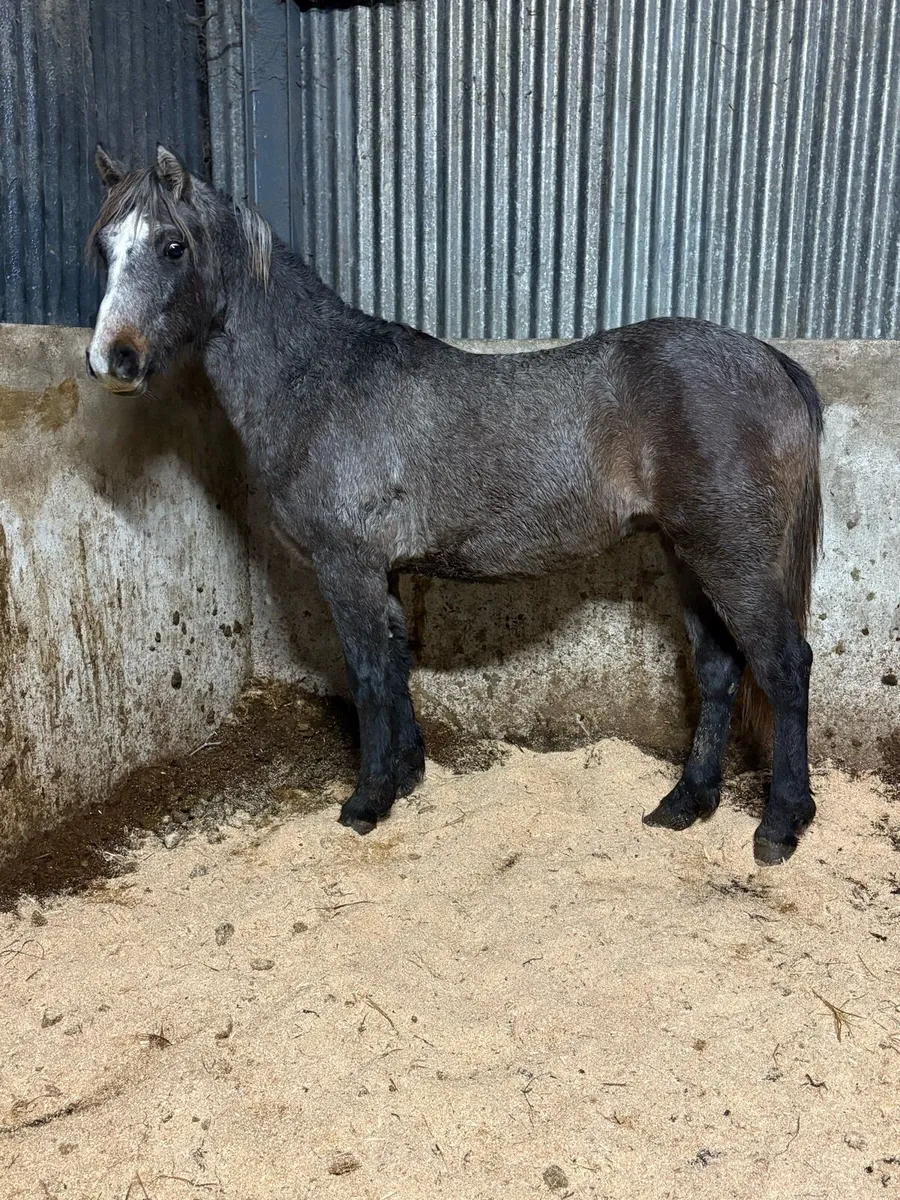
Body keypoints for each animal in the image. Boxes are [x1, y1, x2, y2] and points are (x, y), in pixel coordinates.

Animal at [86, 145, 824, 865]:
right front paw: (407, 776)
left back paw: (780, 825)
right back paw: (686, 803)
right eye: (104, 247)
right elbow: (393, 666)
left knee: (785, 667)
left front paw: (366, 801)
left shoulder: (347, 567)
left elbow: (368, 676)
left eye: (173, 246)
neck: (321, 383)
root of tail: (768, 360)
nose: (112, 359)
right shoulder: (380, 572)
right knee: (720, 668)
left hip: (730, 559)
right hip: (689, 556)